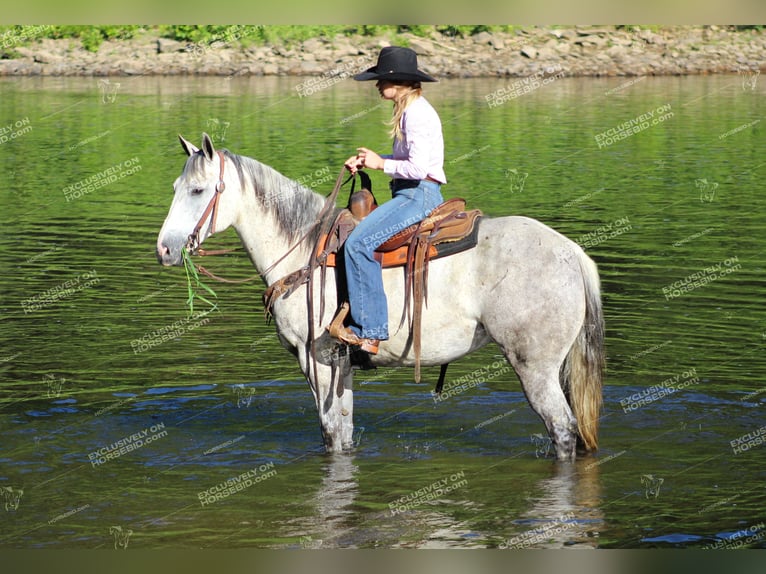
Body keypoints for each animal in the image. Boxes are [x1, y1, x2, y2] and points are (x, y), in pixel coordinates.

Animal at [158, 133, 608, 462]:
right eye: (177, 186)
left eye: (198, 190)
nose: (164, 249)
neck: (304, 251)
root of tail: (572, 253)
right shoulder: (338, 365)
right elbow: (343, 432)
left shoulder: (319, 360)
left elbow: (332, 434)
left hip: (535, 368)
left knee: (563, 431)